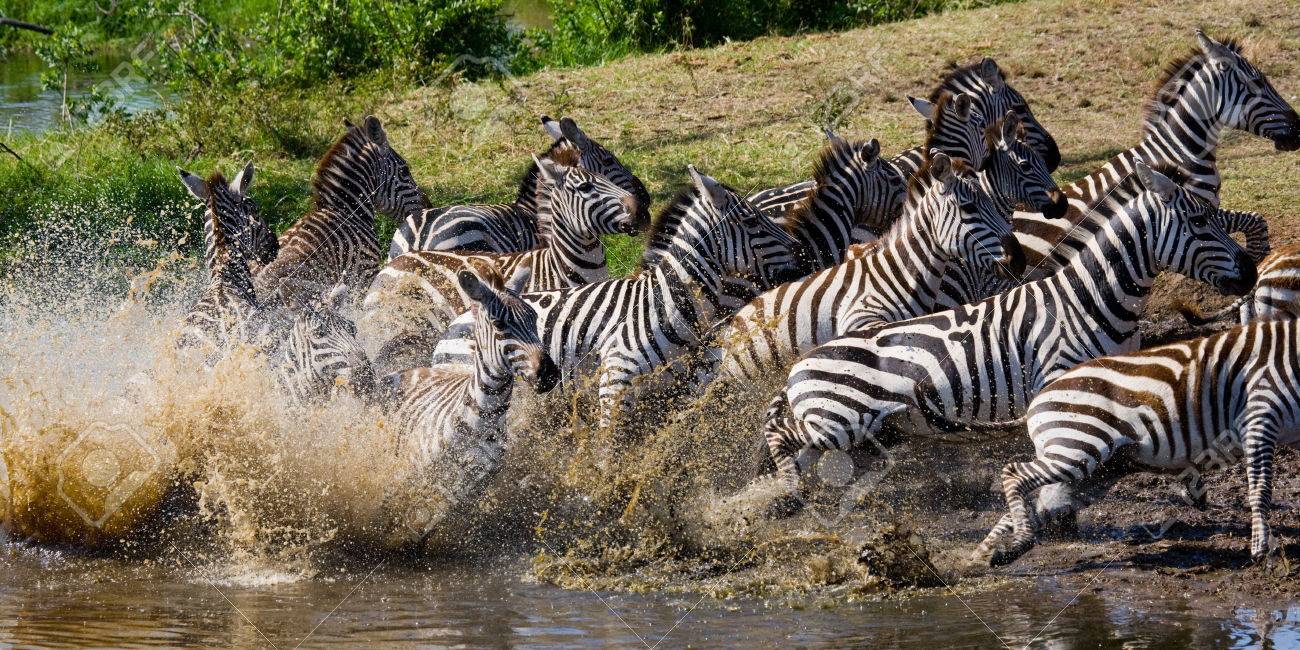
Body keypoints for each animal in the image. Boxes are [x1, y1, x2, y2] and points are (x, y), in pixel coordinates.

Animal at [378, 260, 560, 543]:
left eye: (534, 319)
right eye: (499, 324)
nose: (549, 375)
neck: (482, 419)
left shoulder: (469, 488)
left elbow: (430, 520)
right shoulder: (411, 471)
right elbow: (395, 512)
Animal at [750, 161, 1256, 513]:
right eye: (1199, 223)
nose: (1251, 271)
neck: (1089, 299)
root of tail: (800, 365)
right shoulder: (1062, 380)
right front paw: (1055, 506)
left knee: (797, 446)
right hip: (838, 420)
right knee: (780, 433)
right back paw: (788, 494)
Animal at [973, 316, 1300, 567]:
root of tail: (1038, 398)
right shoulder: (1259, 415)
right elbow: (1260, 490)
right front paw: (1261, 550)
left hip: (1094, 470)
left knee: (1036, 500)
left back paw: (988, 552)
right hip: (1078, 447)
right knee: (1014, 475)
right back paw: (1017, 542)